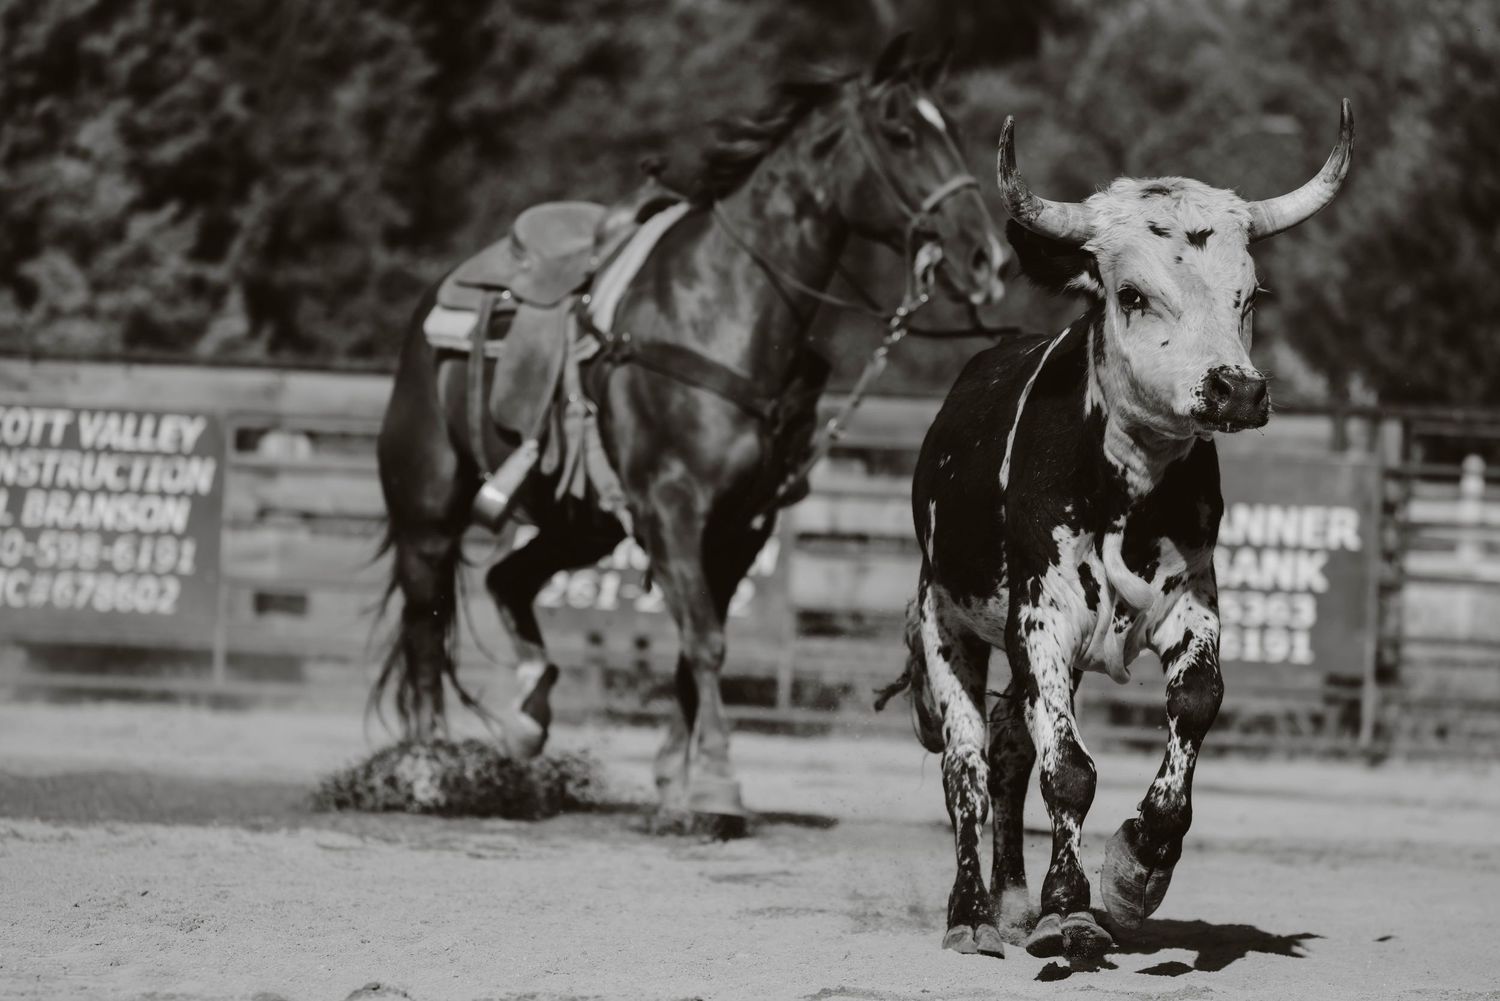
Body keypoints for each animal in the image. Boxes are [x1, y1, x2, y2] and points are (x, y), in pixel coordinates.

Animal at [881, 102, 1353, 961]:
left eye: (1249, 294)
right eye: (1132, 294)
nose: (1236, 389)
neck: (1126, 494)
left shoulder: (1193, 600)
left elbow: (1194, 702)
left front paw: (1138, 866)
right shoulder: (1043, 620)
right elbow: (1068, 768)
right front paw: (1070, 911)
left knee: (1009, 750)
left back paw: (1011, 901)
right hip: (946, 622)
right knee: (968, 767)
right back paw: (971, 912)